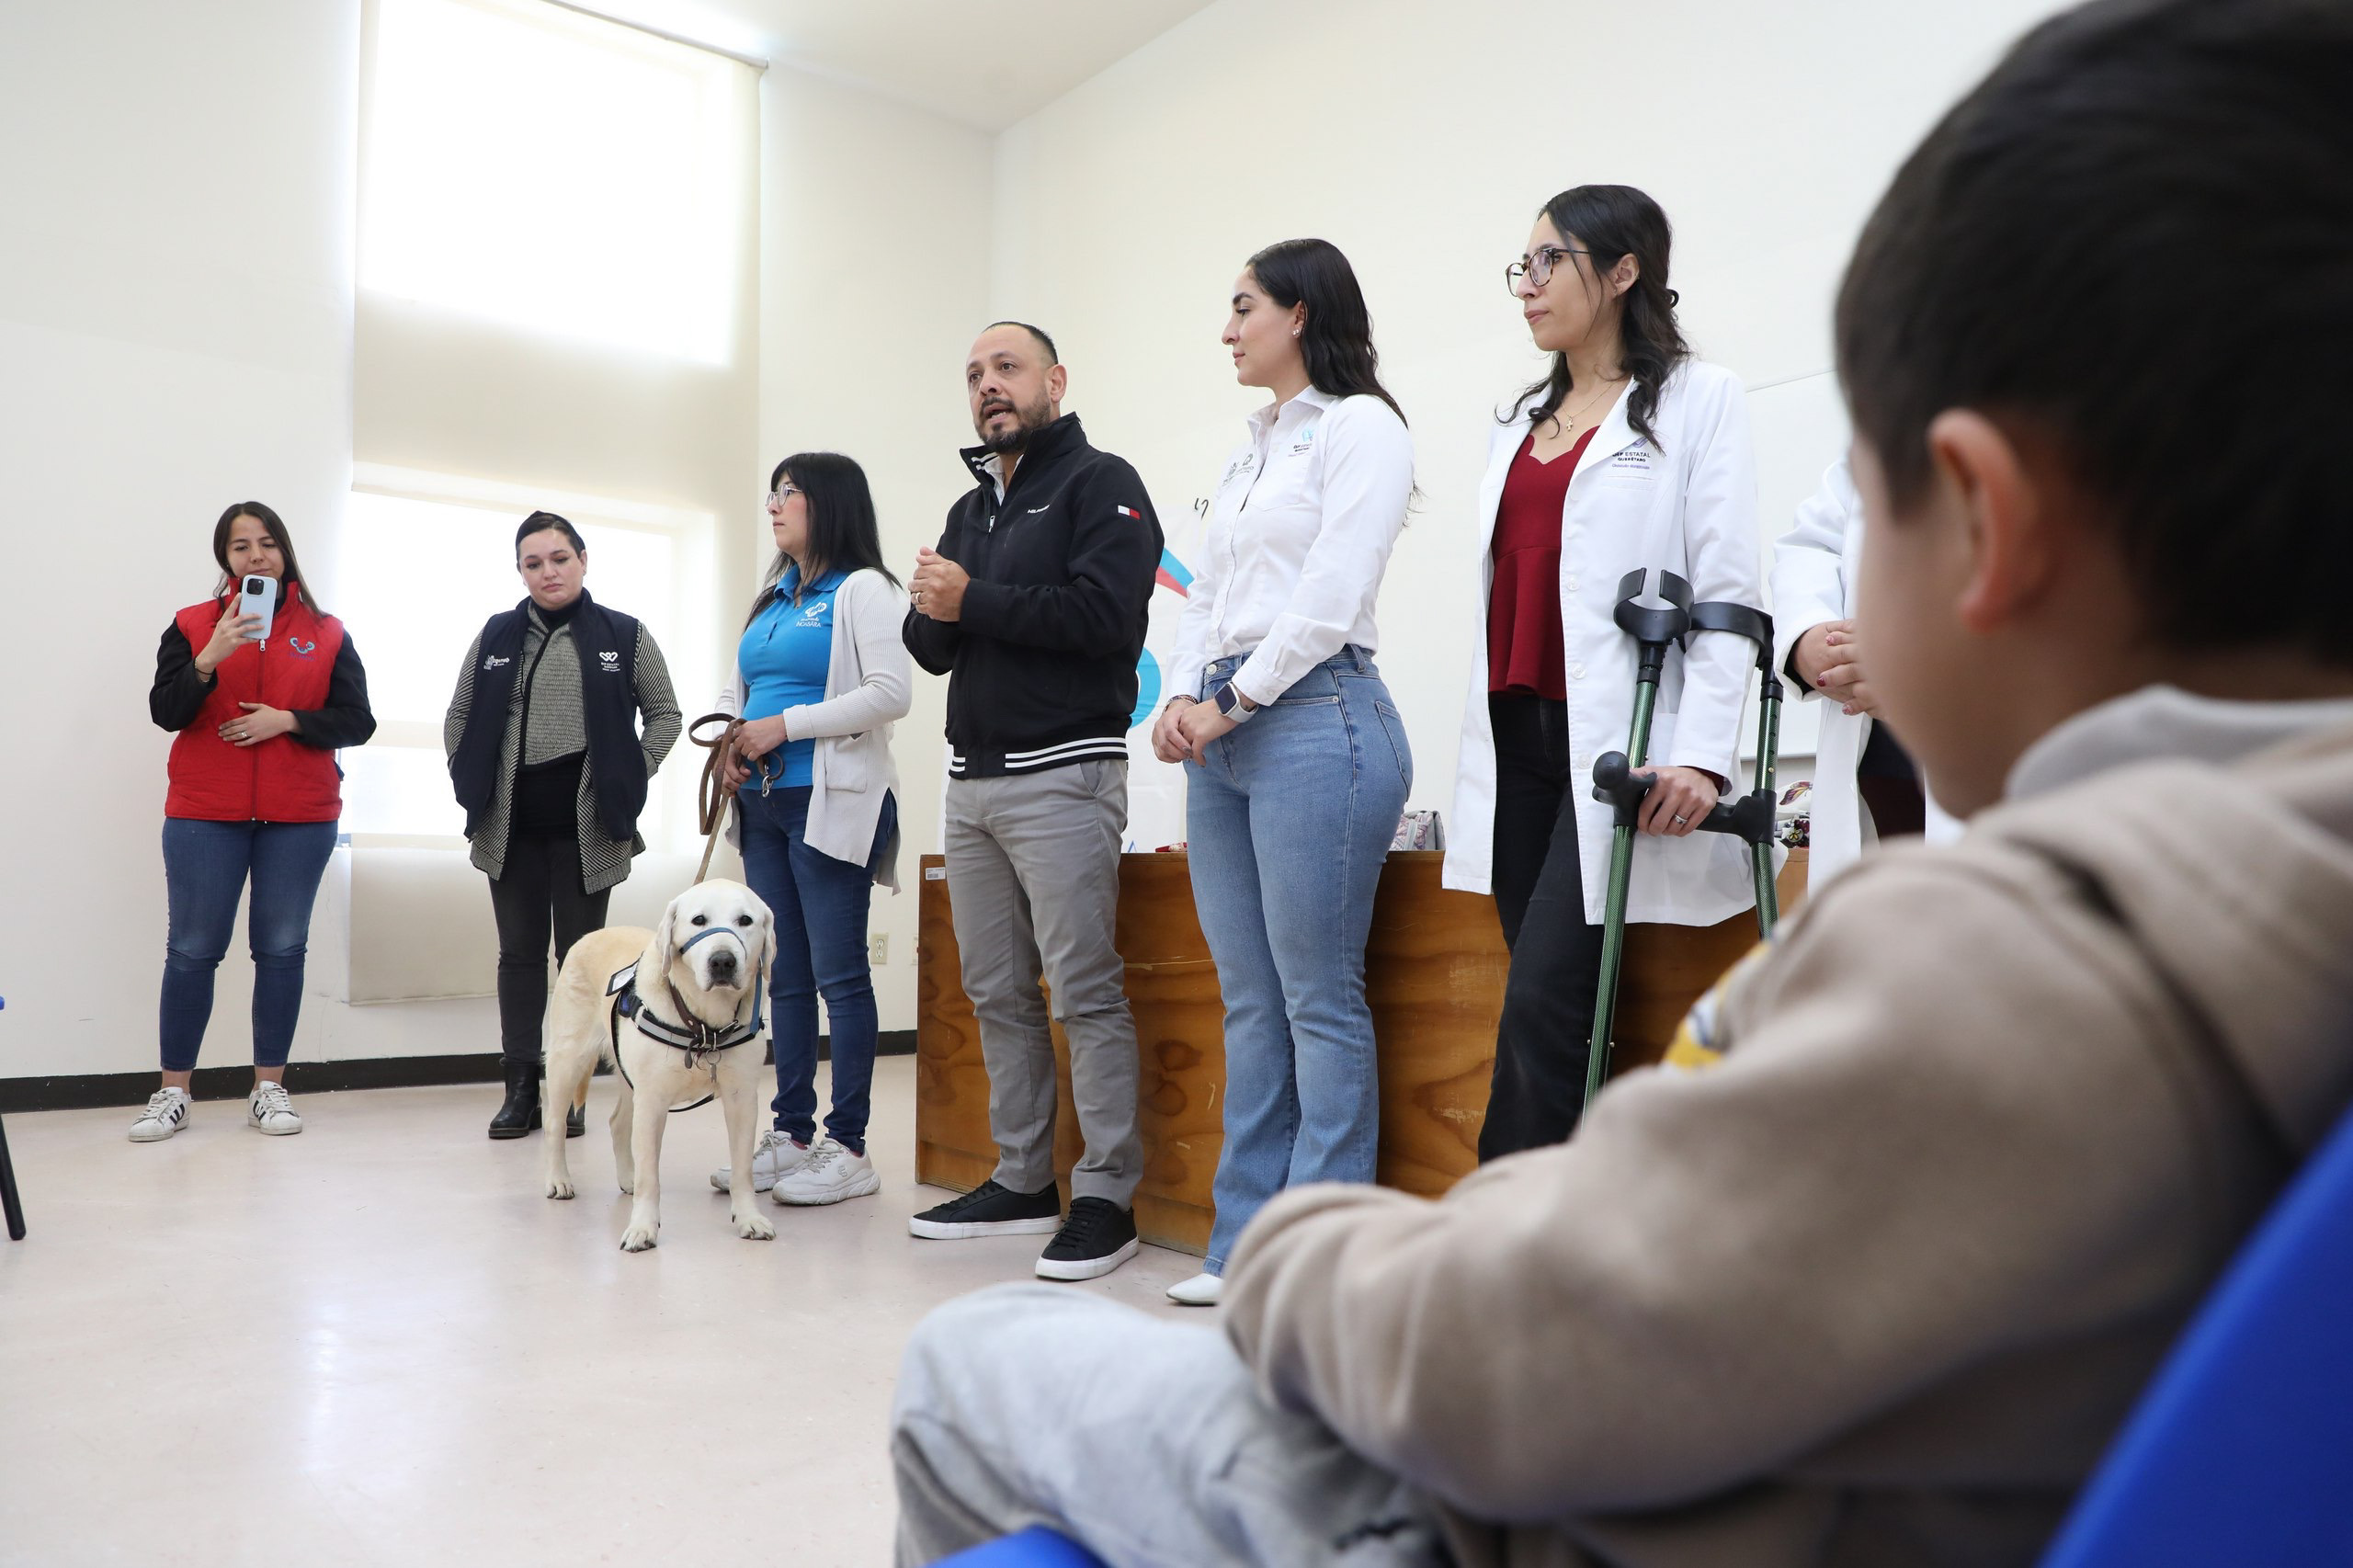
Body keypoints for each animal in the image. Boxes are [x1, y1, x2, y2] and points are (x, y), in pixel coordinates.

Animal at [540, 881, 771, 1243]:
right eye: (698, 920)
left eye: (745, 920)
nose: (722, 961)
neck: (704, 1025)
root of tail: (592, 935)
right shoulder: (652, 1102)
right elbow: (650, 1175)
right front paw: (642, 1228)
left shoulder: (742, 1099)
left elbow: (743, 1168)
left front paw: (749, 1218)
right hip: (568, 1059)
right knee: (555, 1123)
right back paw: (558, 1180)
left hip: (627, 1075)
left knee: (618, 1122)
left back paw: (627, 1179)